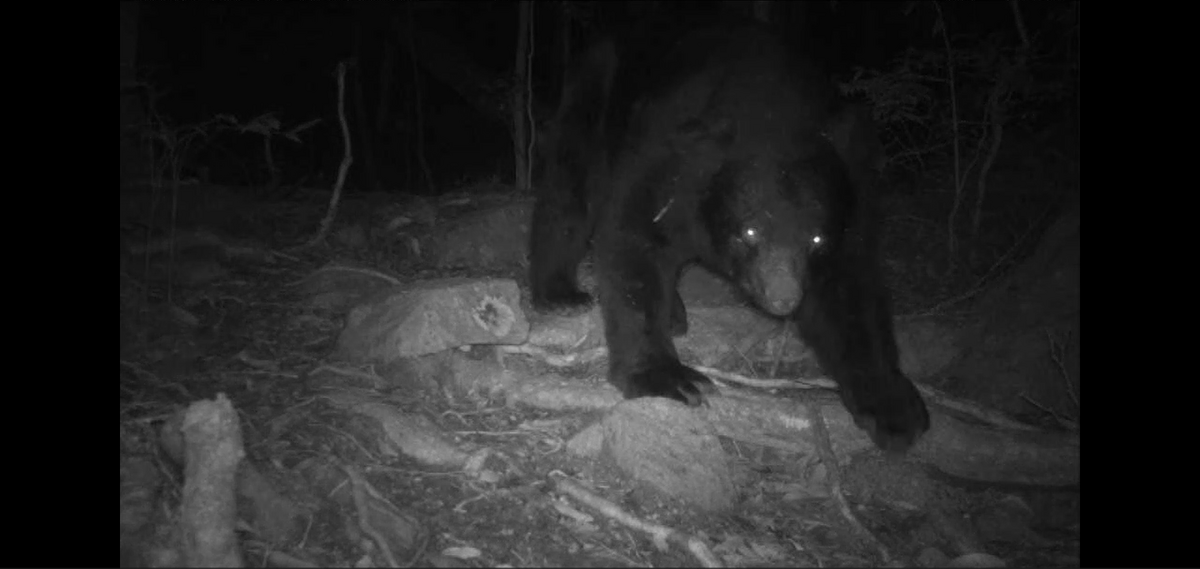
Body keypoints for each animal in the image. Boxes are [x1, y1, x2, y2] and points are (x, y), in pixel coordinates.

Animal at [529, 22, 930, 453]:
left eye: (817, 240)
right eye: (749, 231)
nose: (784, 298)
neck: (772, 106)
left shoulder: (855, 187)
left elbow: (853, 286)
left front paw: (894, 408)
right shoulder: (671, 150)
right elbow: (633, 234)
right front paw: (670, 377)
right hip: (596, 87)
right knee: (571, 179)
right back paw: (559, 292)